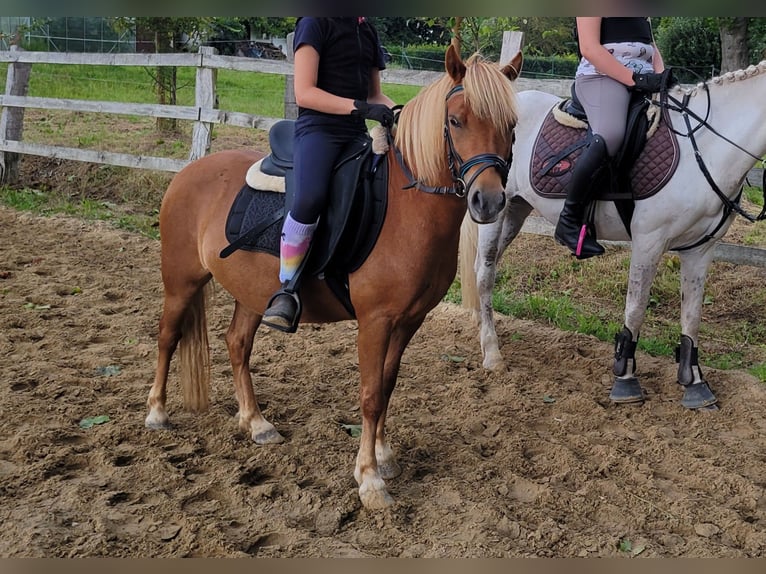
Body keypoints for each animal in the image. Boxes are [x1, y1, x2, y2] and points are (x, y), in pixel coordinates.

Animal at [146, 46, 520, 512]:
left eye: (512, 126)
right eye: (455, 121)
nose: (488, 201)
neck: (406, 209)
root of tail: (188, 172)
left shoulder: (408, 321)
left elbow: (388, 386)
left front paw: (383, 456)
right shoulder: (375, 322)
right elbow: (370, 394)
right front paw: (369, 479)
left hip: (252, 293)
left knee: (237, 344)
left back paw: (256, 422)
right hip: (180, 281)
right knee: (168, 336)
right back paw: (157, 412)